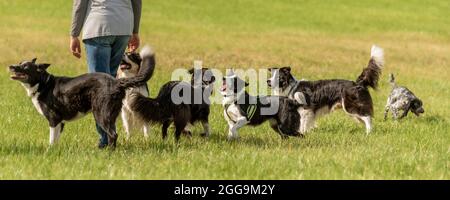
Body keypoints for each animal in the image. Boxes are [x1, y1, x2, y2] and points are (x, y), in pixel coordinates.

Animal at [8, 46, 156, 148]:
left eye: (25, 67)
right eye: (19, 63)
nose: (11, 66)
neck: (42, 83)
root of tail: (116, 82)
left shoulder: (53, 119)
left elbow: (51, 140)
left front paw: (49, 152)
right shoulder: (60, 122)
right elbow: (56, 140)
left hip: (101, 113)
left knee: (113, 134)